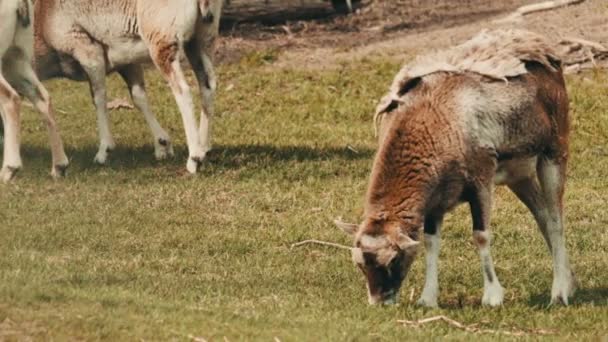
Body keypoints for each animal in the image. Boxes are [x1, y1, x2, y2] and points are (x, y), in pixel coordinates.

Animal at [33, 0, 223, 172]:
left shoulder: (89, 53)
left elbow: (98, 98)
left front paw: (103, 152)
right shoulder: (127, 63)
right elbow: (139, 97)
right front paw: (162, 145)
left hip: (162, 41)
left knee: (183, 91)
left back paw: (194, 160)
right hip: (202, 38)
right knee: (207, 85)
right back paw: (204, 148)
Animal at [334, 29, 576, 308]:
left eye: (393, 260)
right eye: (360, 264)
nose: (379, 302)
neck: (433, 122)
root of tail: (543, 52)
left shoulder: (481, 180)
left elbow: (480, 235)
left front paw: (492, 297)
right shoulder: (435, 201)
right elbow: (431, 242)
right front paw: (427, 299)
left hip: (554, 153)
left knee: (556, 220)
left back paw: (559, 294)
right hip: (519, 175)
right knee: (543, 217)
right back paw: (569, 283)